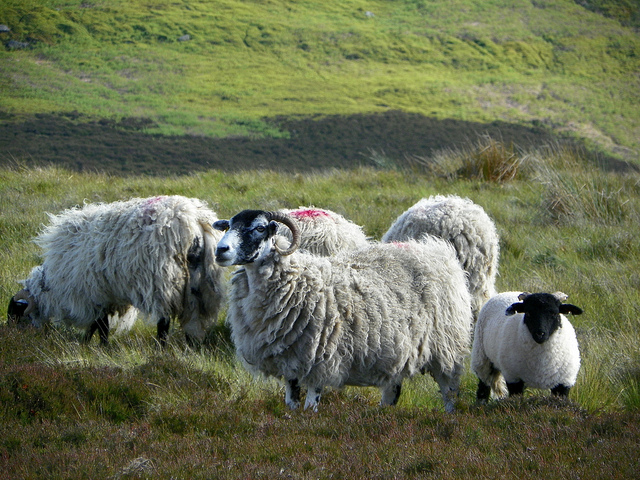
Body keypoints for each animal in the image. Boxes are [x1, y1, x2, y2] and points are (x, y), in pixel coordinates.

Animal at [7, 195, 225, 346]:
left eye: (15, 314)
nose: (13, 336)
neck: (53, 287)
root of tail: (192, 220)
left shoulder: (93, 294)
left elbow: (101, 325)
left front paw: (97, 346)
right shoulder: (105, 295)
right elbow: (98, 325)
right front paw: (89, 343)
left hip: (164, 282)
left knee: (163, 321)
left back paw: (161, 349)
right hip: (201, 284)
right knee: (193, 318)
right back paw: (190, 346)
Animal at [213, 209, 473, 412]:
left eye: (259, 228)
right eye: (229, 225)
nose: (220, 250)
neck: (296, 280)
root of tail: (438, 251)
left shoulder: (321, 358)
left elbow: (310, 406)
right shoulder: (290, 361)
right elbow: (291, 404)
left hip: (446, 346)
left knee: (449, 391)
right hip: (399, 348)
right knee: (392, 391)